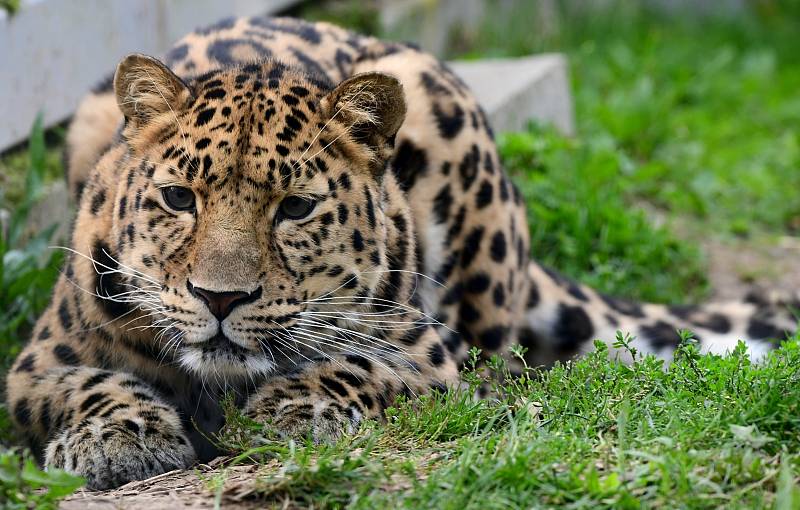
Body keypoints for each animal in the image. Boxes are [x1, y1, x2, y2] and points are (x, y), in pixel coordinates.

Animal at [7, 13, 800, 488]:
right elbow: (87, 384)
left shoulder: (429, 356)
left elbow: (362, 366)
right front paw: (118, 437)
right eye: (179, 199)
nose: (220, 298)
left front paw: (288, 409)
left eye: (295, 208)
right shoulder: (34, 364)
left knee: (499, 370)